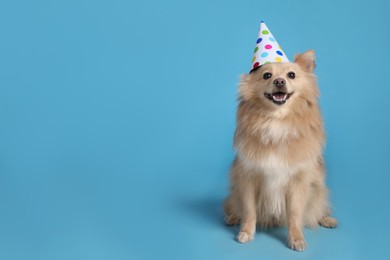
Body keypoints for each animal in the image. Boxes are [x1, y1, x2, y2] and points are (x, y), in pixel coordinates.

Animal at [224, 50, 336, 252]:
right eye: (267, 75)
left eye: (291, 75)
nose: (279, 81)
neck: (276, 120)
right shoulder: (248, 178)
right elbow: (249, 210)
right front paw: (246, 232)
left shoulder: (298, 181)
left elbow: (295, 213)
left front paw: (296, 238)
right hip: (235, 192)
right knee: (234, 205)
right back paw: (233, 217)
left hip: (317, 192)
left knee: (318, 208)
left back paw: (327, 219)